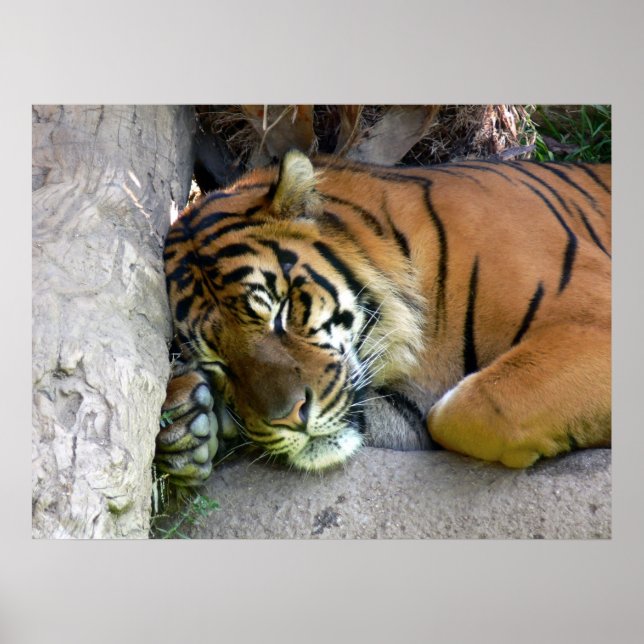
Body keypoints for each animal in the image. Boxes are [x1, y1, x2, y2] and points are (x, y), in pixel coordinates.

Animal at [155, 149, 611, 486]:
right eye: (216, 361)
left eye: (281, 312)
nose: (288, 418)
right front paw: (185, 424)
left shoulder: (593, 320)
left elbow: (471, 408)